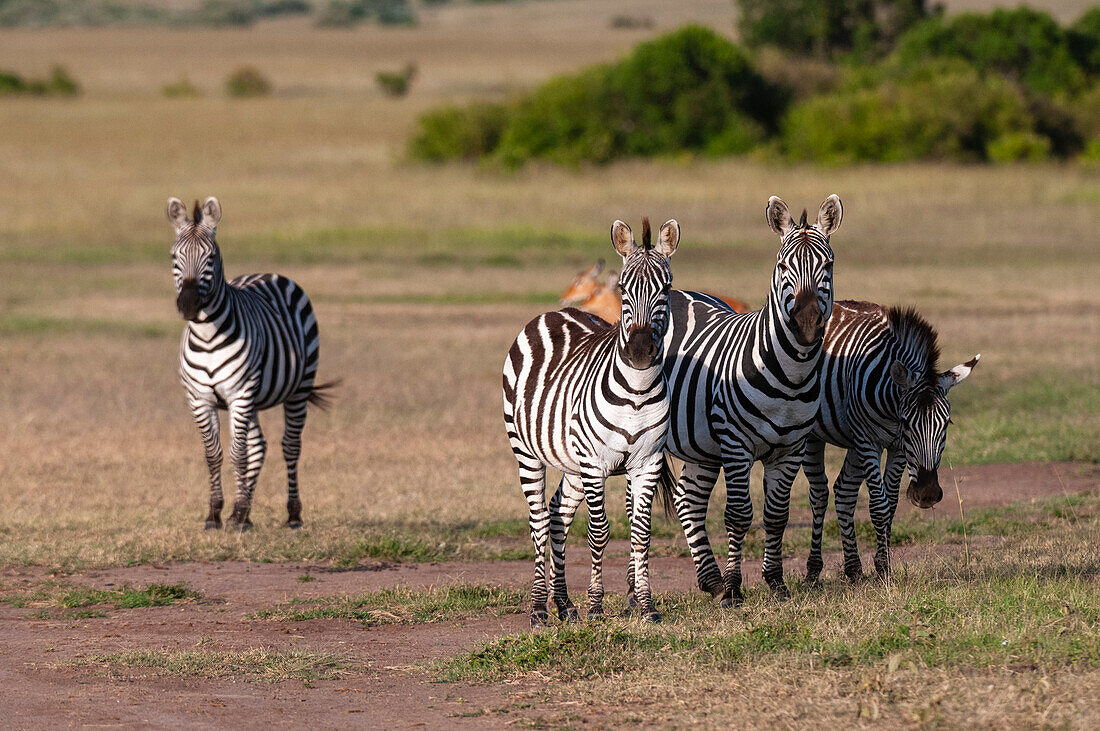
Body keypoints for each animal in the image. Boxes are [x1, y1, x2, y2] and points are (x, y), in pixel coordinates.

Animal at [165, 196, 332, 529]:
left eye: (211, 257)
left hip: (298, 388)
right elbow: (214, 454)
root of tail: (269, 273)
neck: (207, 336)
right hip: (252, 399)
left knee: (290, 446)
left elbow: (237, 454)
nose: (188, 305)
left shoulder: (240, 394)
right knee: (259, 446)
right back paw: (243, 513)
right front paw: (217, 514)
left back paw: (292, 514)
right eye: (175, 256)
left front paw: (239, 514)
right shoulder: (200, 399)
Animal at [503, 219, 677, 624]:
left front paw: (646, 606)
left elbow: (641, 532)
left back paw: (564, 604)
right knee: (538, 521)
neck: (637, 393)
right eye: (624, 288)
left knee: (558, 516)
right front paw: (597, 606)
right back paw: (539, 608)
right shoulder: (595, 464)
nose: (640, 352)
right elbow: (599, 532)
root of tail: (555, 313)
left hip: (572, 463)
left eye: (666, 288)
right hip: (527, 452)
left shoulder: (647, 462)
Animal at [655, 193, 844, 602]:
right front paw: (733, 588)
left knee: (688, 501)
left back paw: (709, 580)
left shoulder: (791, 449)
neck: (791, 377)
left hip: (701, 447)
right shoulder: (736, 443)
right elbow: (739, 514)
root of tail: (678, 292)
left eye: (828, 264)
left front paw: (775, 582)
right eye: (782, 264)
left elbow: (777, 515)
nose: (807, 323)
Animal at [800, 298, 981, 580]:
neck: (891, 406)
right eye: (907, 422)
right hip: (814, 436)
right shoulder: (868, 440)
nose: (928, 495)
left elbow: (892, 503)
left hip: (853, 442)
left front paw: (882, 563)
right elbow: (879, 505)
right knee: (819, 494)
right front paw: (883, 568)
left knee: (844, 491)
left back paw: (854, 569)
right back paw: (813, 571)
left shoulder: (897, 447)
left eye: (947, 424)